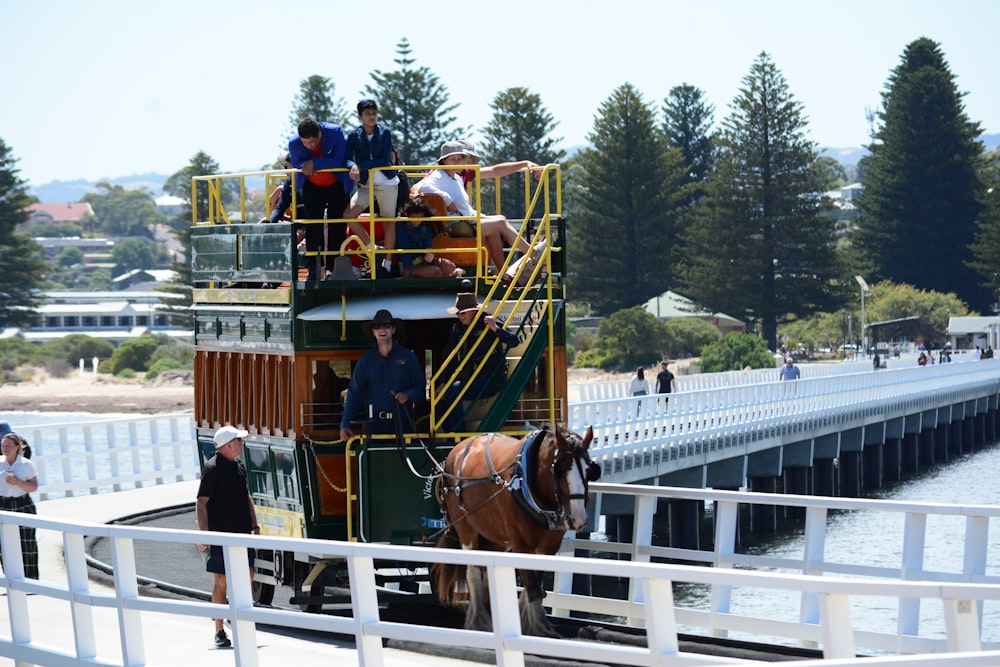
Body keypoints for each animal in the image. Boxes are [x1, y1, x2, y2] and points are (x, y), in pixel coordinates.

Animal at [430, 422, 592, 636]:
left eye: (590, 469)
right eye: (558, 469)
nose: (578, 518)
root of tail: (459, 448)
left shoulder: (549, 546)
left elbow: (536, 584)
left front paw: (531, 624)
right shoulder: (521, 544)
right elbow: (532, 587)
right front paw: (538, 628)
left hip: (495, 537)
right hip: (465, 528)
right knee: (473, 574)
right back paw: (478, 621)